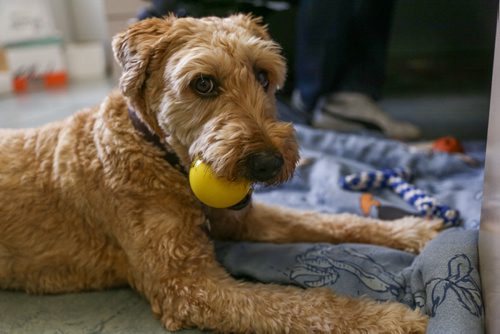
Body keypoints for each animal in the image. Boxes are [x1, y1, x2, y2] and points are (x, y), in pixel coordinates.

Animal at [0, 13, 442, 334]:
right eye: (204, 84)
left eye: (263, 76)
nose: (269, 163)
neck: (153, 150)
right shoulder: (187, 286)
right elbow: (299, 303)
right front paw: (388, 318)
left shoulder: (246, 221)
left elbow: (330, 222)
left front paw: (412, 230)